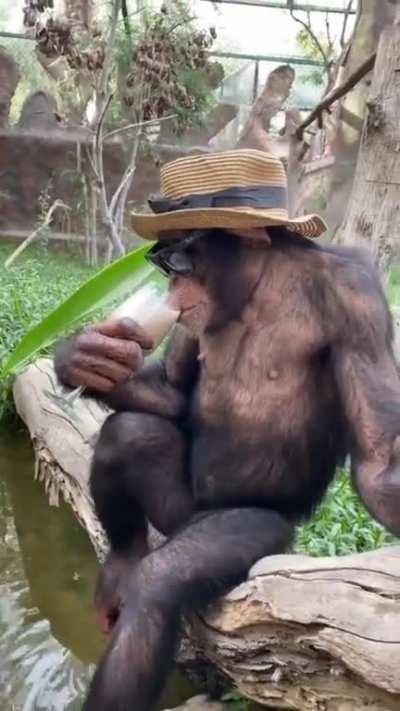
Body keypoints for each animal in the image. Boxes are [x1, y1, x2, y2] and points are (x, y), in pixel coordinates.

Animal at [54, 226, 400, 711]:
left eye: (182, 262)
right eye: (165, 264)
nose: (172, 284)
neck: (254, 286)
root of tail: (190, 518)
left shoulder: (356, 298)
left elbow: (377, 458)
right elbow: (175, 391)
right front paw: (84, 359)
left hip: (255, 528)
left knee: (162, 580)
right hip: (177, 508)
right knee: (130, 433)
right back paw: (121, 564)